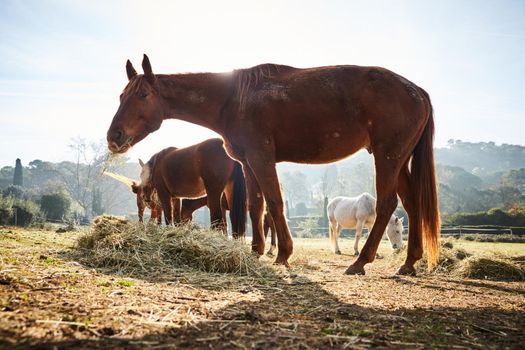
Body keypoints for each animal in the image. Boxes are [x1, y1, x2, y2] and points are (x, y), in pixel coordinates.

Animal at [108, 54, 440, 274]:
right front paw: (256, 251)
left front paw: (283, 254)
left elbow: (274, 202)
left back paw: (360, 261)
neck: (234, 98)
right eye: (121, 95)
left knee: (387, 204)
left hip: (388, 157)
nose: (114, 136)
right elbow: (256, 206)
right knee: (412, 205)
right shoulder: (247, 163)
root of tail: (417, 91)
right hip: (399, 161)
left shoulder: (261, 158)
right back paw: (409, 262)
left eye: (143, 94)